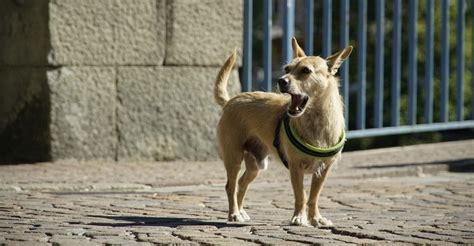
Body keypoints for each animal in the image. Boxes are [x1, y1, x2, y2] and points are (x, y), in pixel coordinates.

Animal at [215, 37, 352, 226]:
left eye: (305, 71)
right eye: (286, 69)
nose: (281, 80)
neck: (316, 121)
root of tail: (230, 101)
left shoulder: (324, 170)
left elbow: (314, 197)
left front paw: (316, 218)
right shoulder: (296, 168)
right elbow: (301, 195)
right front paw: (299, 217)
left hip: (256, 166)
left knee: (242, 184)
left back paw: (241, 211)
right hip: (234, 158)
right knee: (231, 186)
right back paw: (234, 214)